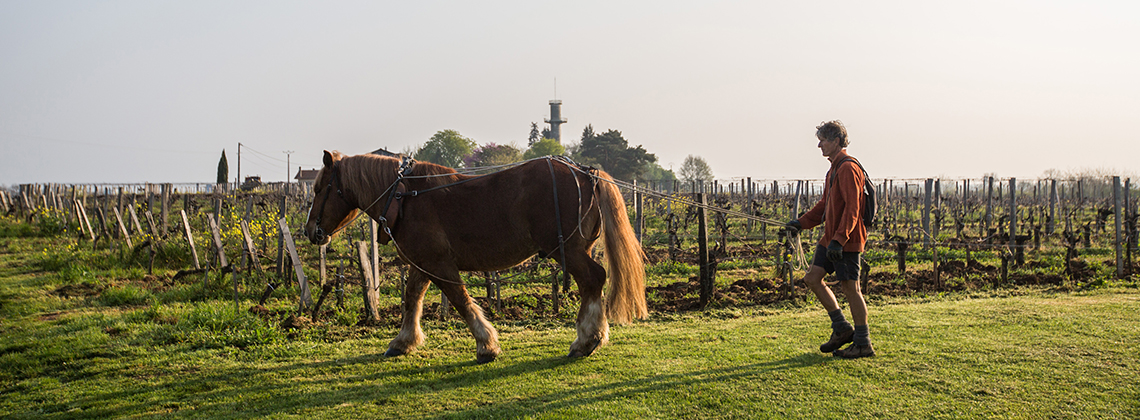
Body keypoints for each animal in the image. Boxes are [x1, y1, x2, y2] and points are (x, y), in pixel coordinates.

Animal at [303, 150, 647, 360]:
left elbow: (460, 300)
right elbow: (412, 298)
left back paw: (586, 339)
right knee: (592, 282)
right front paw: (404, 341)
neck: (405, 197)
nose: (309, 230)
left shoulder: (439, 264)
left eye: (320, 189)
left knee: (593, 279)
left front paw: (487, 345)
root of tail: (585, 172)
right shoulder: (423, 264)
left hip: (567, 250)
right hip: (575, 249)